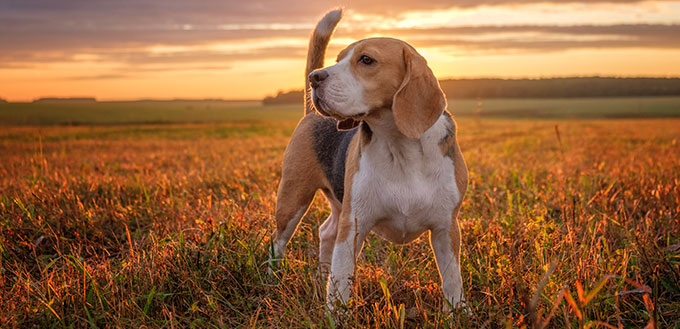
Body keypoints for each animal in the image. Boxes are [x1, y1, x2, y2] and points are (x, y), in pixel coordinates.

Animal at [270, 9, 468, 308]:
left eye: (366, 60)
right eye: (338, 60)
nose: (315, 78)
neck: (400, 147)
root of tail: (311, 113)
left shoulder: (447, 228)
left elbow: (453, 280)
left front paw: (458, 312)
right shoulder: (354, 225)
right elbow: (341, 281)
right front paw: (335, 313)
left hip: (337, 202)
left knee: (326, 231)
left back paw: (320, 276)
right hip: (293, 198)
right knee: (278, 242)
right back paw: (270, 280)